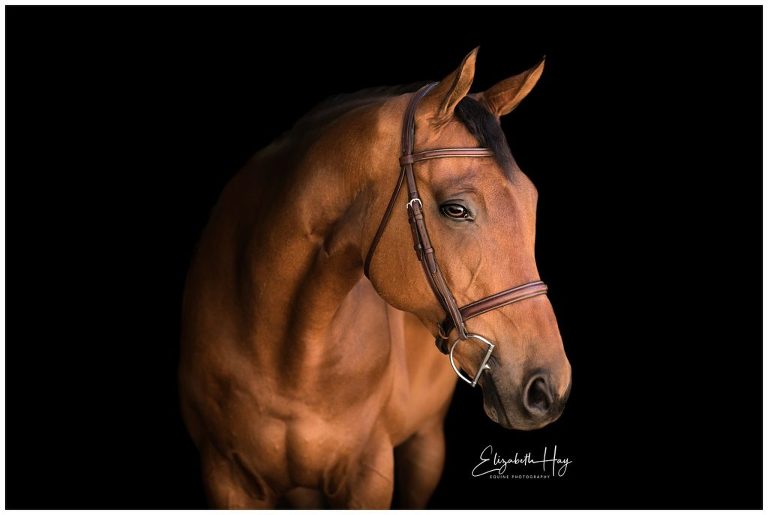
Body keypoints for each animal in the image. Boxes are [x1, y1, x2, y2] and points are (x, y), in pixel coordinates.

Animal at [178, 47, 568, 508]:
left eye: (533, 201)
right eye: (455, 208)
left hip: (426, 444)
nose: (549, 387)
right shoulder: (226, 476)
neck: (287, 354)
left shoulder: (370, 473)